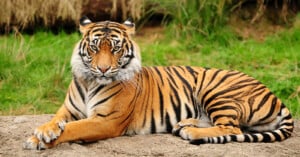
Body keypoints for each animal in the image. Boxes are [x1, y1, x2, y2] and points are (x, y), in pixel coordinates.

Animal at [22, 16, 292, 150]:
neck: (89, 81)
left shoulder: (107, 120)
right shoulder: (68, 109)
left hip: (216, 89)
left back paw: (191, 131)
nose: (103, 69)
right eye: (95, 47)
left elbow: (74, 128)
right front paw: (42, 133)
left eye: (116, 49)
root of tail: (274, 95)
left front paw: (40, 140)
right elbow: (56, 121)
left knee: (232, 128)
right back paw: (184, 124)